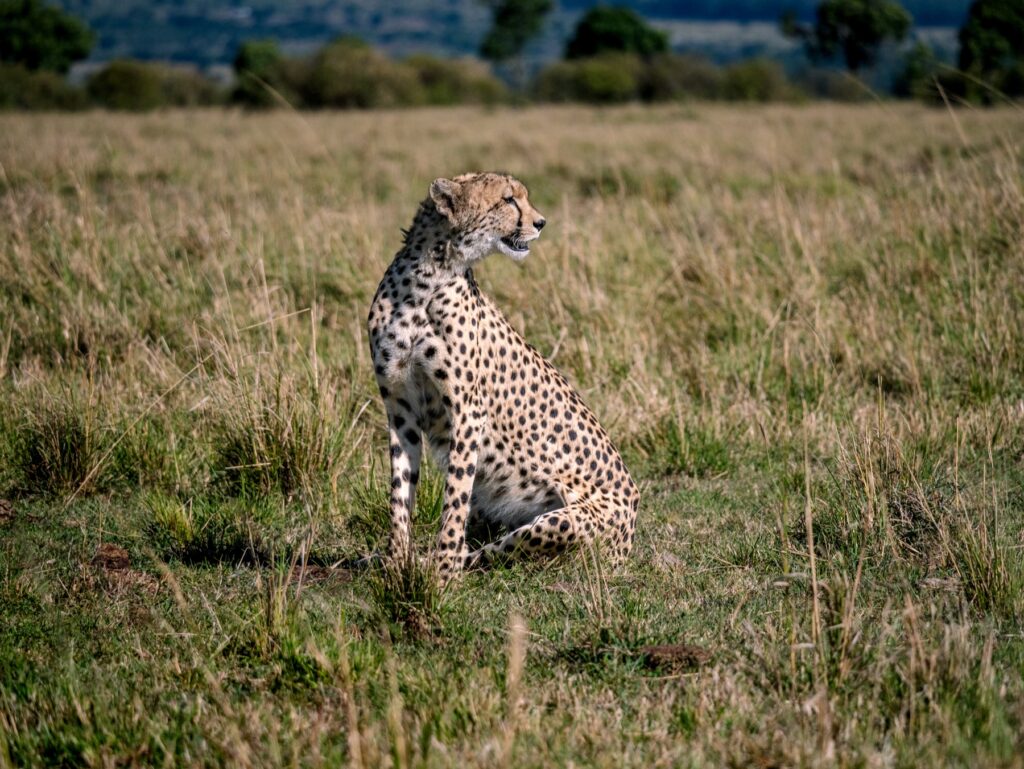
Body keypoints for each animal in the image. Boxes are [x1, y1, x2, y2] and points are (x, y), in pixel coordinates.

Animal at [367, 171, 638, 583]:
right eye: (508, 200)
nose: (541, 222)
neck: (426, 278)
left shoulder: (468, 412)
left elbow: (455, 496)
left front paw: (441, 571)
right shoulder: (400, 409)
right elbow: (401, 490)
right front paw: (397, 560)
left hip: (567, 521)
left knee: (493, 550)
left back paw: (439, 562)